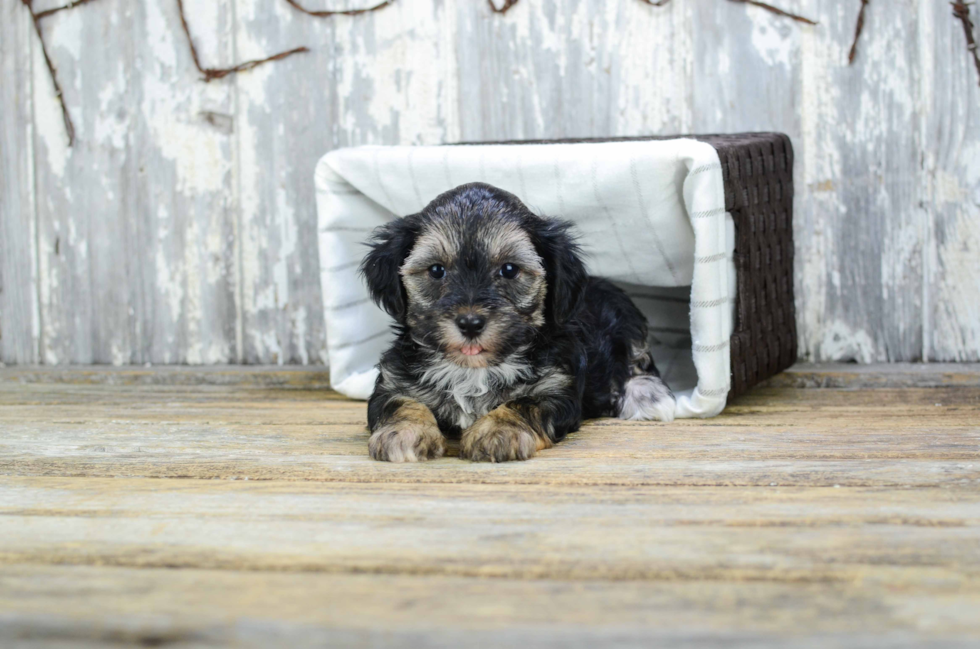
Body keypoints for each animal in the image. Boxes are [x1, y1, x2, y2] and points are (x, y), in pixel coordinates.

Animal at [358, 185, 672, 464]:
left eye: (509, 270)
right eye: (436, 270)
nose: (470, 323)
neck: (474, 370)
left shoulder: (557, 386)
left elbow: (523, 403)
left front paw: (498, 430)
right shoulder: (394, 380)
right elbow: (401, 402)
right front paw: (404, 432)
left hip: (625, 320)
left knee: (638, 362)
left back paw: (650, 399)